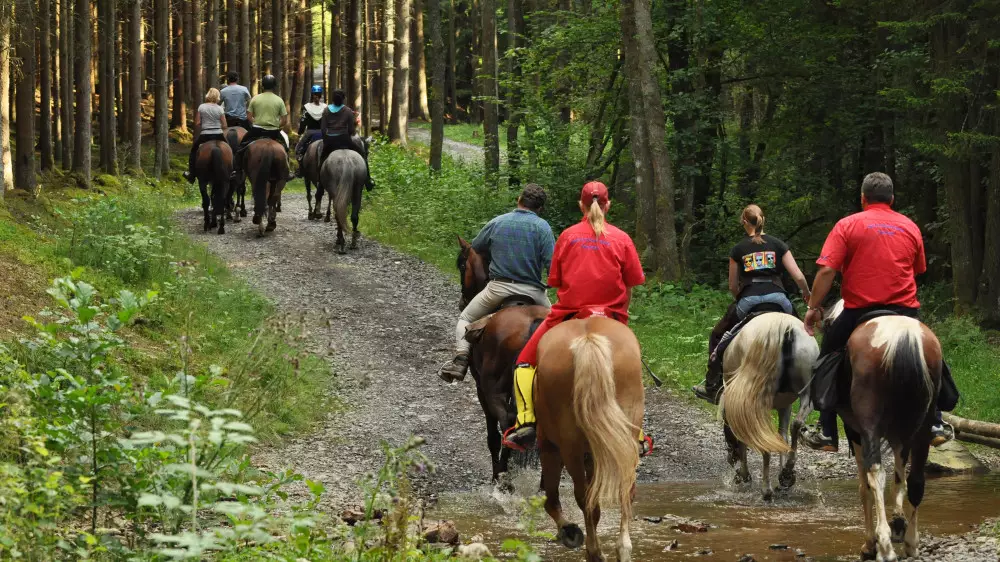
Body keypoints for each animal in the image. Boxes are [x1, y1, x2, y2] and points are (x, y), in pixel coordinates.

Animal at [458, 237, 552, 486]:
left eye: (461, 265)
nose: (463, 301)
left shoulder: (482, 388)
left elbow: (493, 436)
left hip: (493, 387)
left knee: (508, 423)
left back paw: (502, 478)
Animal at [536, 316, 644, 560]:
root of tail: (588, 339)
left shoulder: (548, 446)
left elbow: (552, 499)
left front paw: (569, 531)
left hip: (569, 448)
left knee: (583, 497)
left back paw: (594, 552)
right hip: (623, 441)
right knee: (624, 490)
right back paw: (622, 549)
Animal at [720, 310, 820, 498]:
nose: (730, 459)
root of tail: (783, 329)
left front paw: (744, 477)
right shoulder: (785, 406)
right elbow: (782, 436)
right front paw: (782, 476)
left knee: (764, 438)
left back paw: (766, 489)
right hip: (807, 391)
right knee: (796, 424)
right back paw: (787, 473)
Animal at [824, 302, 940, 560]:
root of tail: (903, 335)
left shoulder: (855, 431)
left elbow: (865, 487)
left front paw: (870, 543)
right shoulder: (900, 438)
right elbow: (900, 478)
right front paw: (898, 522)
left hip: (869, 423)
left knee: (875, 475)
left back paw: (884, 547)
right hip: (923, 426)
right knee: (916, 480)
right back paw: (911, 542)